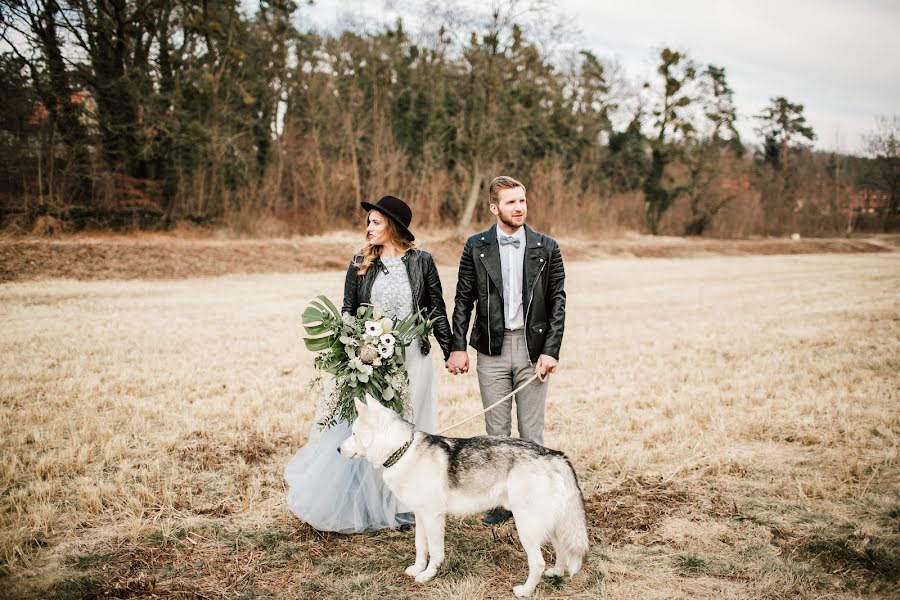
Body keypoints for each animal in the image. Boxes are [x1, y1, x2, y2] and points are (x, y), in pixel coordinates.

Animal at [340, 396, 592, 596]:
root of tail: (554, 454)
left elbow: (435, 552)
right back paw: (556, 573)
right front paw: (417, 569)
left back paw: (525, 591)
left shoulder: (433, 517)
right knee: (561, 550)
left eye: (353, 433)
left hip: (526, 527)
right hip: (551, 524)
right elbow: (421, 547)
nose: (338, 450)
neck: (403, 450)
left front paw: (428, 575)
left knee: (538, 563)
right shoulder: (421, 516)